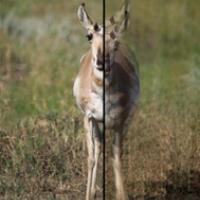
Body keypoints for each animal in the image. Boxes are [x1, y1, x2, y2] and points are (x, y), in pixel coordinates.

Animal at [72, 1, 140, 198]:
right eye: (89, 36)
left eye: (115, 41)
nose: (101, 61)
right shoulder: (89, 118)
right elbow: (91, 158)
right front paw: (88, 195)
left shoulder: (119, 121)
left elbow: (116, 157)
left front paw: (122, 195)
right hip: (97, 123)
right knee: (98, 147)